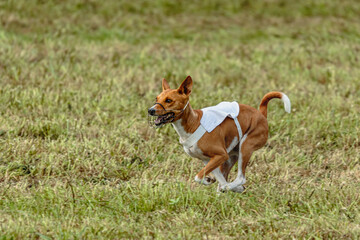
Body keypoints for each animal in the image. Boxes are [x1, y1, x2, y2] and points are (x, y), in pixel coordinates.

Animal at [148, 76, 292, 192]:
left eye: (168, 100)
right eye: (156, 98)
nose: (150, 110)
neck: (193, 124)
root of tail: (261, 114)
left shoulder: (221, 155)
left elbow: (198, 176)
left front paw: (211, 182)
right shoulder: (208, 159)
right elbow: (218, 178)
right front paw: (214, 182)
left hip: (245, 147)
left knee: (241, 178)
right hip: (232, 156)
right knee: (227, 178)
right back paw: (230, 189)